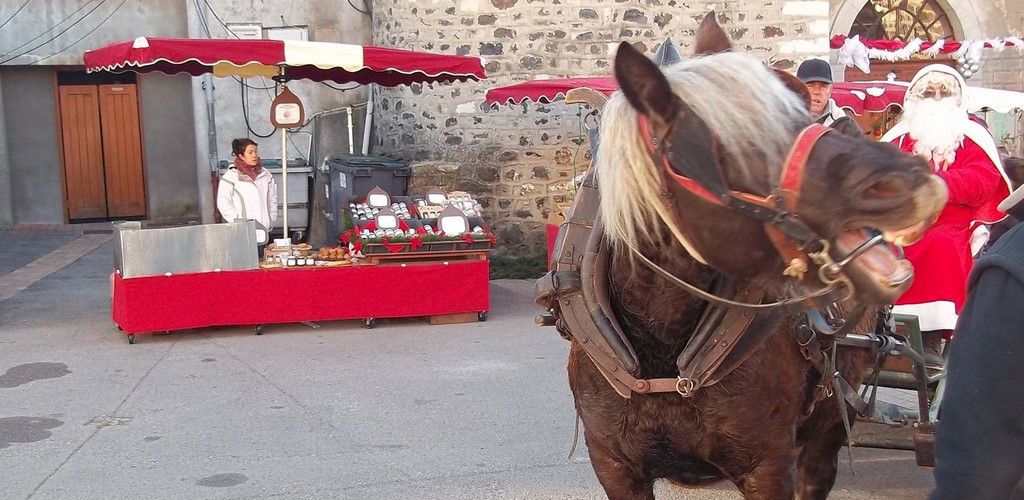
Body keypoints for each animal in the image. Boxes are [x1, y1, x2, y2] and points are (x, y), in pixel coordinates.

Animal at [565, 13, 946, 497]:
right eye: (738, 140)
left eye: (803, 116)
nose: (912, 179)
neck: (662, 348)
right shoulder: (615, 468)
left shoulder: (767, 466)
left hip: (830, 422)